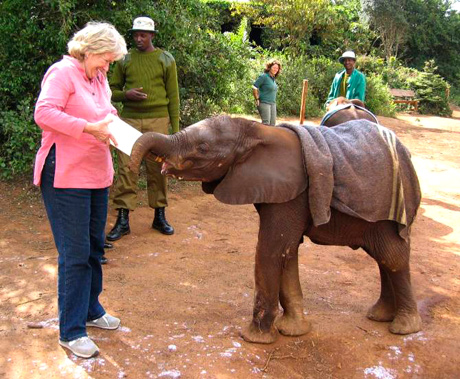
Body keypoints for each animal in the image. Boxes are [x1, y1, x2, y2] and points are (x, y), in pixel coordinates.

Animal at [127, 116, 422, 344]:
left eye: (203, 147)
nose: (130, 165)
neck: (255, 130)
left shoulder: (293, 194)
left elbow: (271, 250)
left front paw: (254, 339)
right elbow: (288, 253)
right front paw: (292, 331)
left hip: (391, 207)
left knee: (392, 256)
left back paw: (403, 328)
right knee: (383, 259)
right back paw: (379, 316)